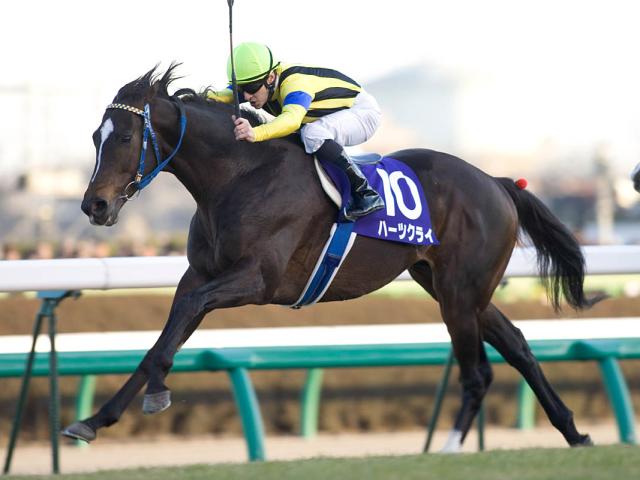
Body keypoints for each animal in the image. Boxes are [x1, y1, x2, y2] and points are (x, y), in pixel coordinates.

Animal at [64, 64, 599, 451]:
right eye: (93, 137)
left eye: (125, 137)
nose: (95, 205)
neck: (237, 176)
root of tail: (497, 182)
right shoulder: (200, 275)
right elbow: (164, 337)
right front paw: (94, 419)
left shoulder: (256, 280)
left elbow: (183, 321)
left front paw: (156, 393)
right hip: (452, 286)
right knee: (517, 344)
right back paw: (574, 432)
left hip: (459, 292)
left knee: (478, 371)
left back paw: (448, 450)